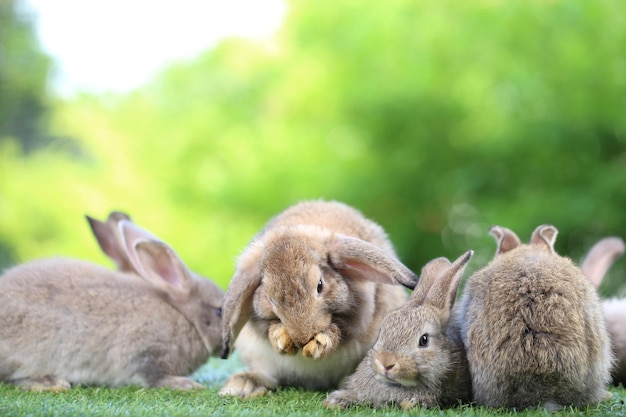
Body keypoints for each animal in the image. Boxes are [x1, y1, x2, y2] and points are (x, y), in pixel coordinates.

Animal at [0, 214, 223, 390]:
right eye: (219, 311)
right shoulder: (147, 353)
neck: (186, 318)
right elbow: (154, 377)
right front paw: (186, 385)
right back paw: (49, 383)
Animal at [217, 200, 416, 398]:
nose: (301, 338)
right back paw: (244, 385)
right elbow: (269, 328)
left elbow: (338, 331)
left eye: (320, 285)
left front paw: (319, 344)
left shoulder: (356, 320)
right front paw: (281, 338)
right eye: (269, 297)